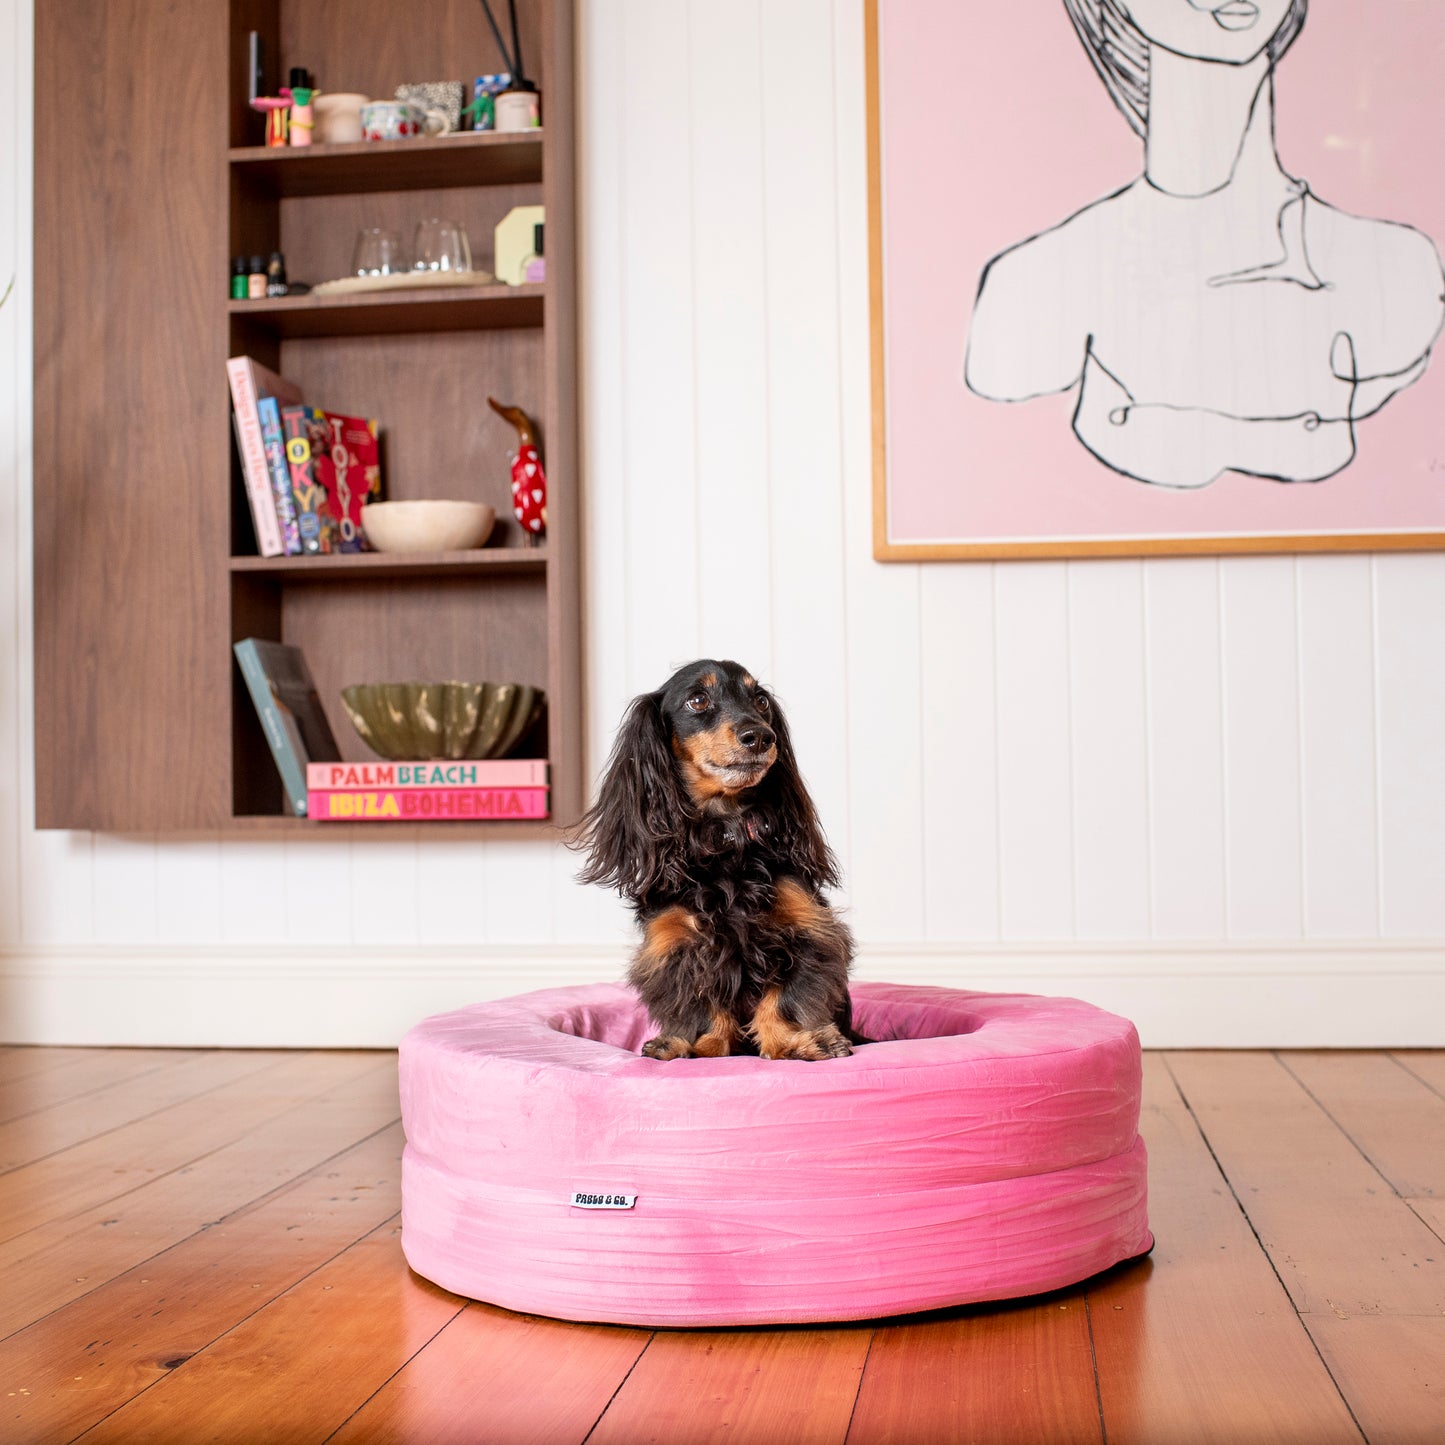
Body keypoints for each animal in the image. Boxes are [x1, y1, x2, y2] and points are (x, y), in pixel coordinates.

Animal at [575, 661, 855, 1057]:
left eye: (761, 700)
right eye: (697, 700)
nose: (761, 736)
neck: (724, 839)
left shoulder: (811, 930)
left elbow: (784, 997)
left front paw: (797, 1042)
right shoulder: (674, 944)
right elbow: (703, 1006)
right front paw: (698, 1045)